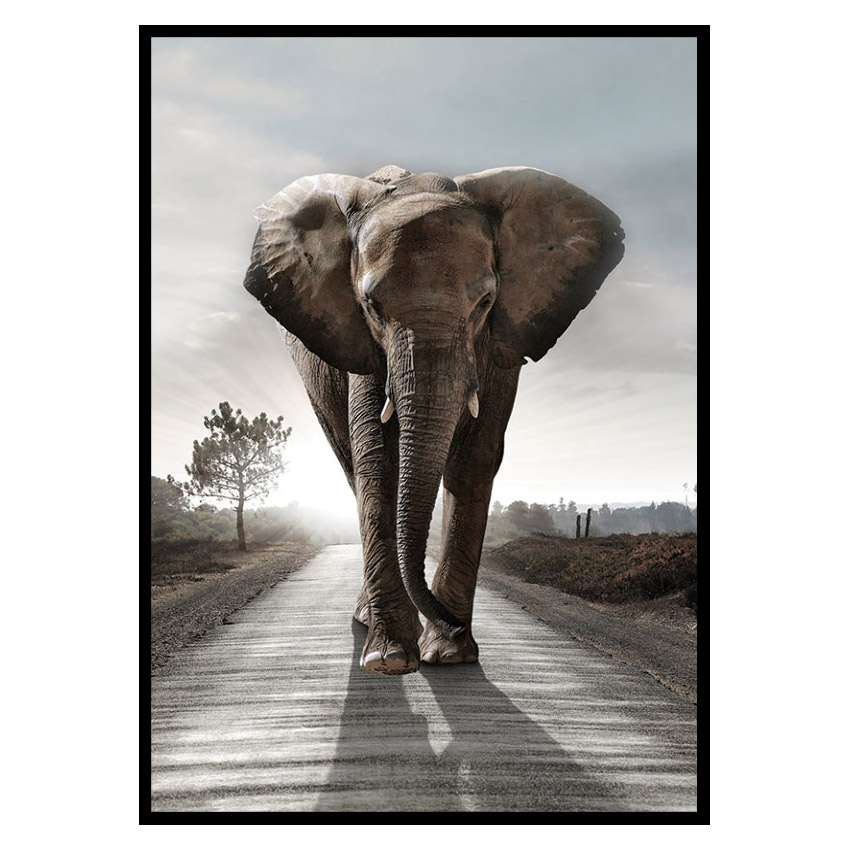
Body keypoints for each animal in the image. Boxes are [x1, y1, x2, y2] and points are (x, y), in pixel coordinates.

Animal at [243, 164, 624, 675]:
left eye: (485, 302)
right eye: (373, 306)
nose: (452, 623)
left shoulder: (499, 345)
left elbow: (475, 458)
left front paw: (449, 654)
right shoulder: (364, 347)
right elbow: (378, 459)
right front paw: (390, 659)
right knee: (351, 466)